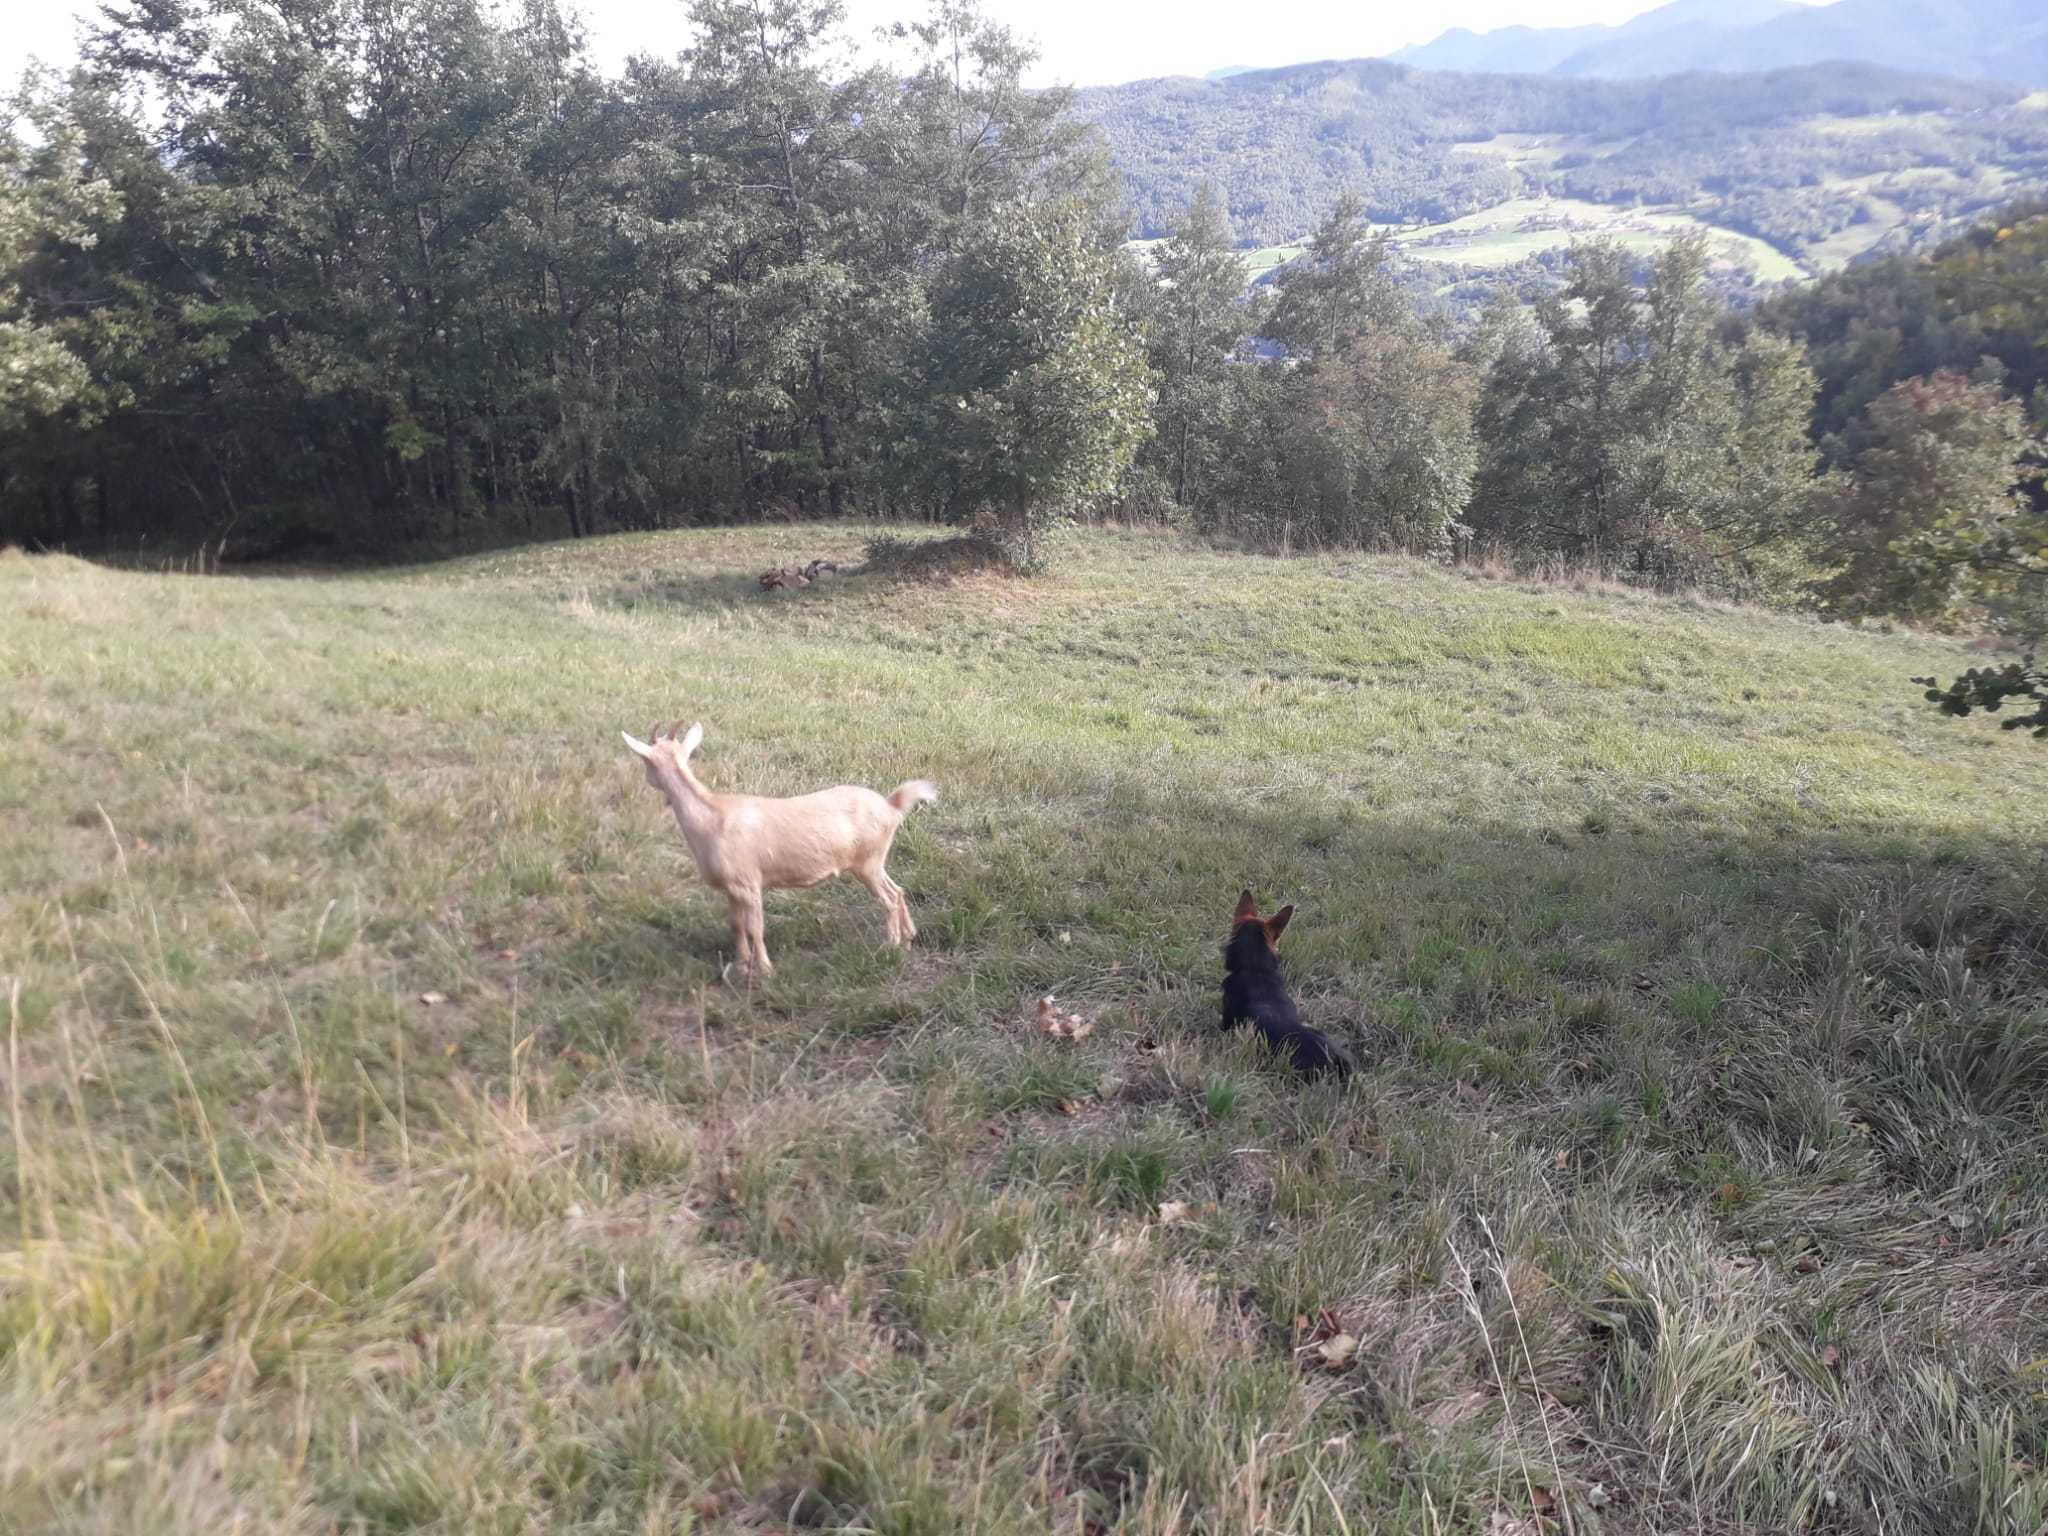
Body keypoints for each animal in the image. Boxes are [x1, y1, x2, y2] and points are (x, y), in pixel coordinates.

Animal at [622, 720, 942, 974]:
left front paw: (764, 969)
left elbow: (755, 926)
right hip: (874, 860)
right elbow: (736, 925)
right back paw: (909, 938)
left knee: (888, 898)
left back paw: (890, 946)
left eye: (645, 763)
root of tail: (892, 806)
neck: (713, 817)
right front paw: (741, 964)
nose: (648, 781)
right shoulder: (731, 888)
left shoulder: (748, 882)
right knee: (897, 890)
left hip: (867, 862)